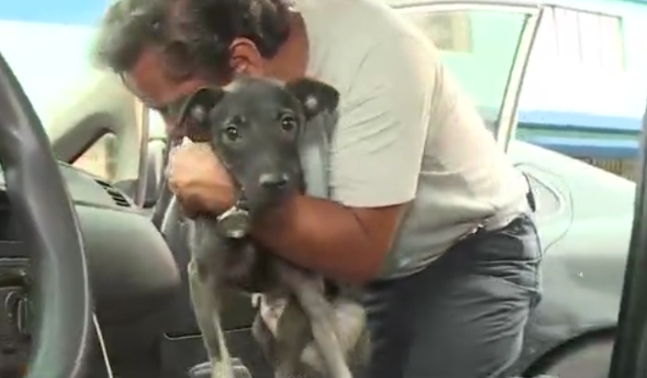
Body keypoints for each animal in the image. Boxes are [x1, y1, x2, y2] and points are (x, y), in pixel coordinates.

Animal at [177, 76, 370, 378]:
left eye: (287, 123)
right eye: (232, 131)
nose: (275, 183)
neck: (257, 216)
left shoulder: (309, 292)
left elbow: (333, 353)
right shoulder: (202, 280)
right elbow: (219, 355)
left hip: (341, 317)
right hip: (263, 329)